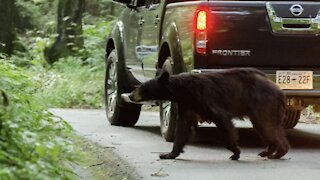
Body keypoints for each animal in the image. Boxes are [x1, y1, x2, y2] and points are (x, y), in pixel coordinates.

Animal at [125, 68, 290, 160]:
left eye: (141, 87)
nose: (130, 95)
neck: (182, 90)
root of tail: (279, 90)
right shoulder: (187, 105)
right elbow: (183, 128)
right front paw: (168, 154)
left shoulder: (205, 98)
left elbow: (222, 119)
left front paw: (235, 152)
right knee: (267, 128)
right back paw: (268, 151)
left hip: (262, 103)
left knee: (266, 125)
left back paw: (278, 152)